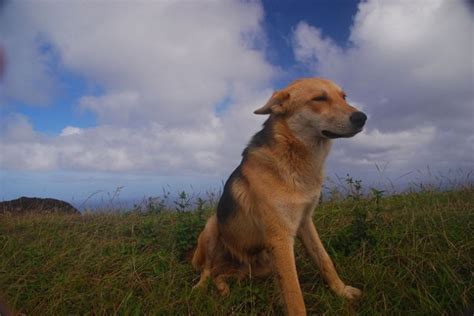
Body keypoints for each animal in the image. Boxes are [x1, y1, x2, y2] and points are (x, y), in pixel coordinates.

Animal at [193, 78, 366, 314]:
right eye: (319, 98)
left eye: (344, 97)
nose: (362, 117)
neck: (294, 156)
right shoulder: (281, 238)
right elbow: (294, 295)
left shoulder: (305, 222)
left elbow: (325, 260)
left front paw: (342, 291)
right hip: (212, 227)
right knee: (207, 270)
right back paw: (200, 289)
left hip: (257, 268)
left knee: (220, 275)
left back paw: (224, 289)